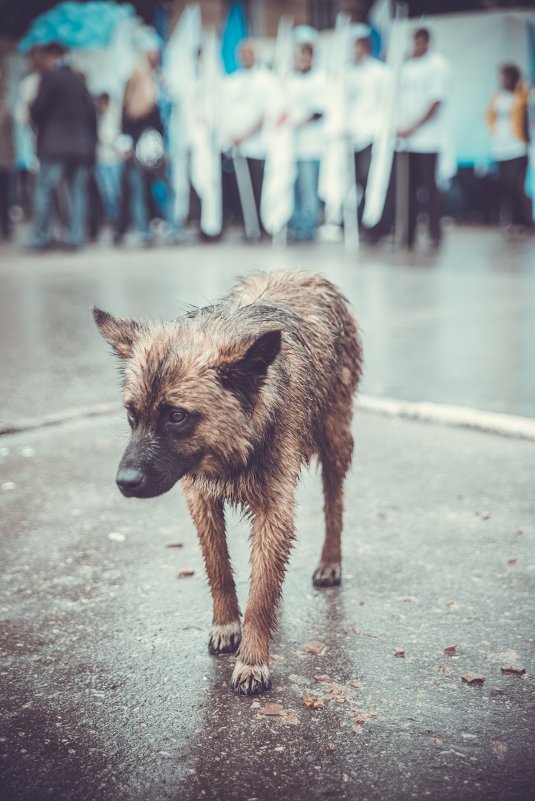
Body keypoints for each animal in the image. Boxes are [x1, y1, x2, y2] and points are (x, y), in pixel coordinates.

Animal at [94, 270, 362, 692]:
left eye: (176, 416)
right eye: (131, 415)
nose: (125, 482)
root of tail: (304, 273)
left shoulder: (274, 506)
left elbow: (260, 594)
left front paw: (252, 659)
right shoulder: (201, 499)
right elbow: (219, 567)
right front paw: (226, 624)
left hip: (335, 440)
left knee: (333, 504)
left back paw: (330, 562)